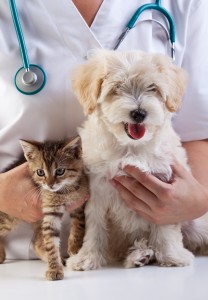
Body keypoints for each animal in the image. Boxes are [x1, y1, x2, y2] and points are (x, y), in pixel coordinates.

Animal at [0, 137, 88, 282]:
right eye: (40, 172)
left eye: (60, 171)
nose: (49, 184)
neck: (63, 192)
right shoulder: (50, 211)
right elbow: (51, 242)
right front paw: (54, 269)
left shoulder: (80, 202)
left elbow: (79, 224)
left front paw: (75, 246)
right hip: (9, 218)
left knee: (36, 242)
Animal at [67, 49, 207, 270]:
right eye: (117, 88)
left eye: (153, 88)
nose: (139, 113)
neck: (130, 148)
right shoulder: (97, 191)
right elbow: (95, 227)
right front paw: (86, 257)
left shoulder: (164, 191)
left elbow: (166, 224)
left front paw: (171, 255)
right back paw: (140, 255)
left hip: (196, 222)